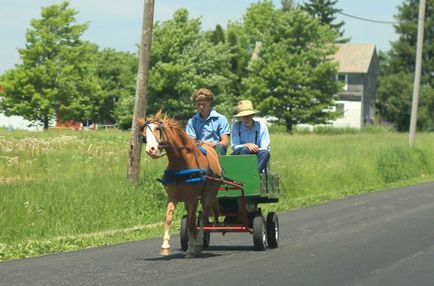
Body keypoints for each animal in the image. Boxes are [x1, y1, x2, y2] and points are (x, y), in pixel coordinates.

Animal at [138, 113, 222, 258]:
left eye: (157, 129)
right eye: (144, 134)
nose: (151, 150)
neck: (181, 163)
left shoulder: (193, 198)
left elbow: (192, 223)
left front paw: (192, 249)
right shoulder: (173, 196)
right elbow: (169, 219)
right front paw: (165, 247)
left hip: (208, 195)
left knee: (203, 217)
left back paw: (198, 244)